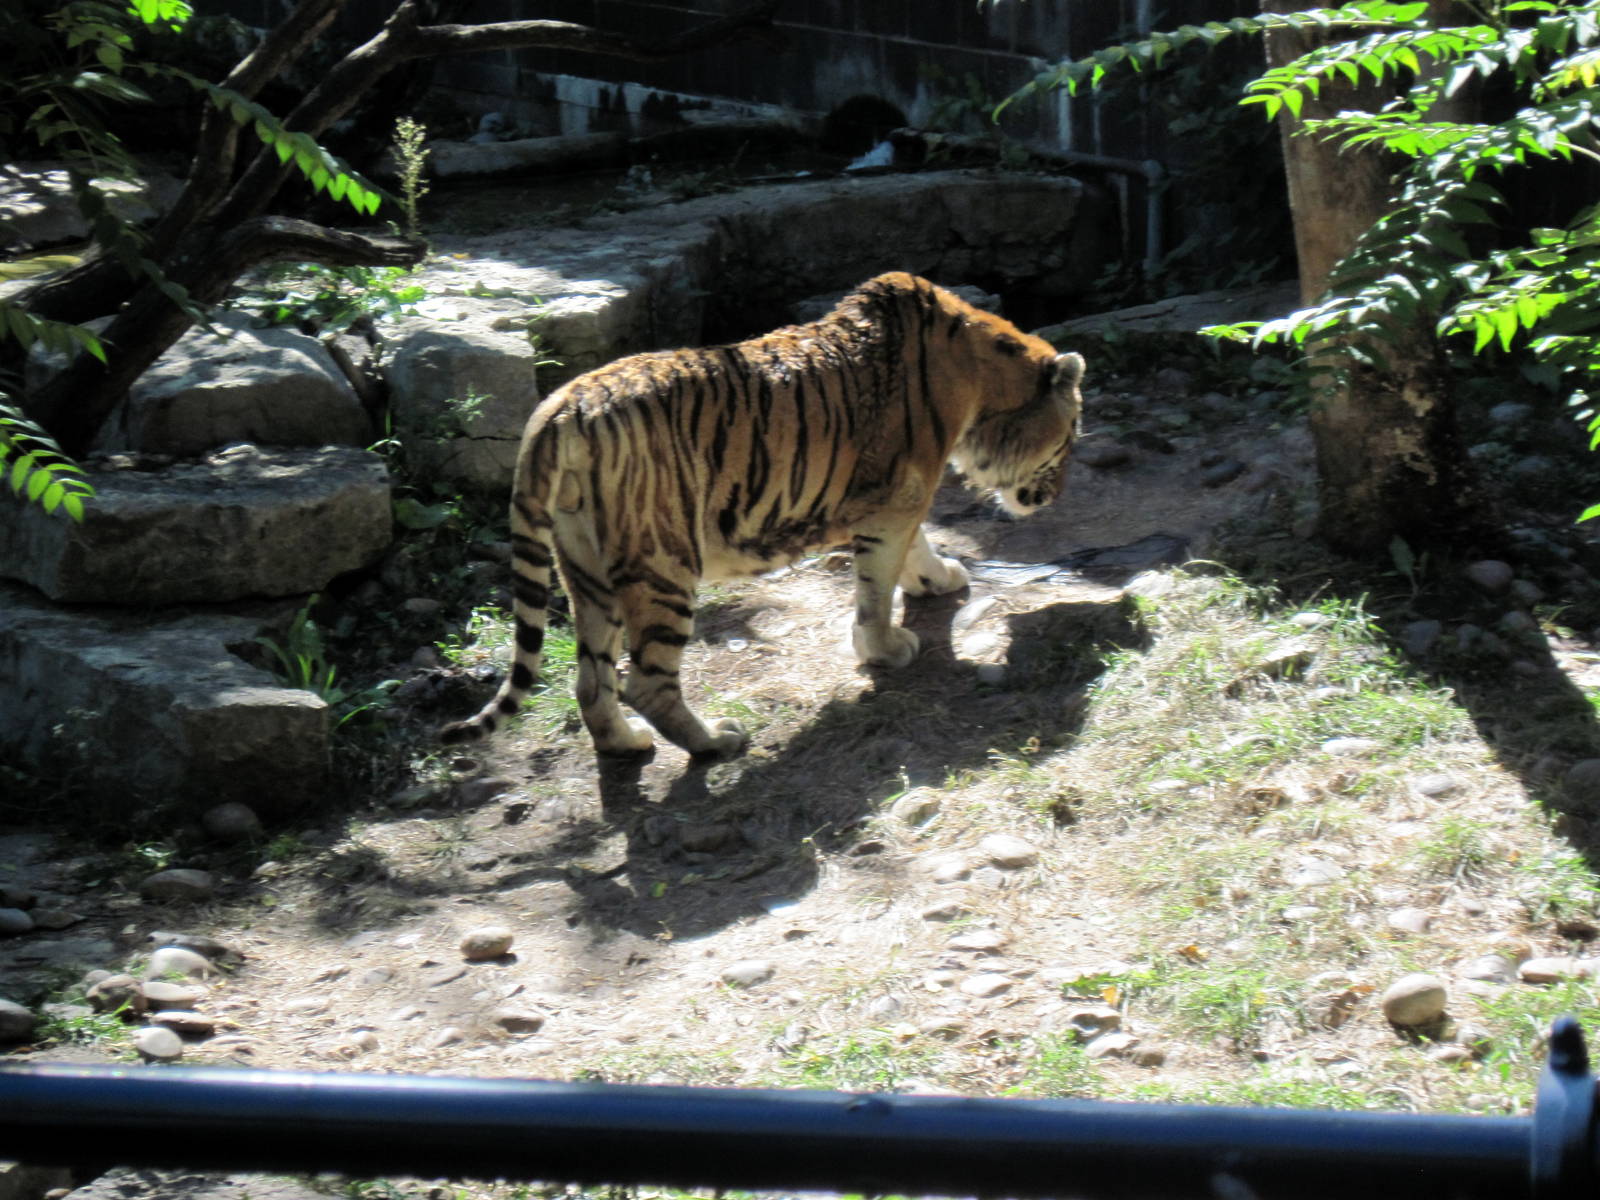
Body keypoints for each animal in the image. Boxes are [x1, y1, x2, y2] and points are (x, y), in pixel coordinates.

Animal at [441, 271, 1085, 759]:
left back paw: (628, 745)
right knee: (645, 682)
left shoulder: (898, 499)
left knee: (592, 682)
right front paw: (885, 648)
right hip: (663, 566)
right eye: (1072, 434)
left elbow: (917, 548)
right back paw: (716, 743)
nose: (1058, 494)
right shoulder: (895, 501)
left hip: (586, 569)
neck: (978, 384)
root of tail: (559, 408)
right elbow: (876, 590)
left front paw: (939, 579)